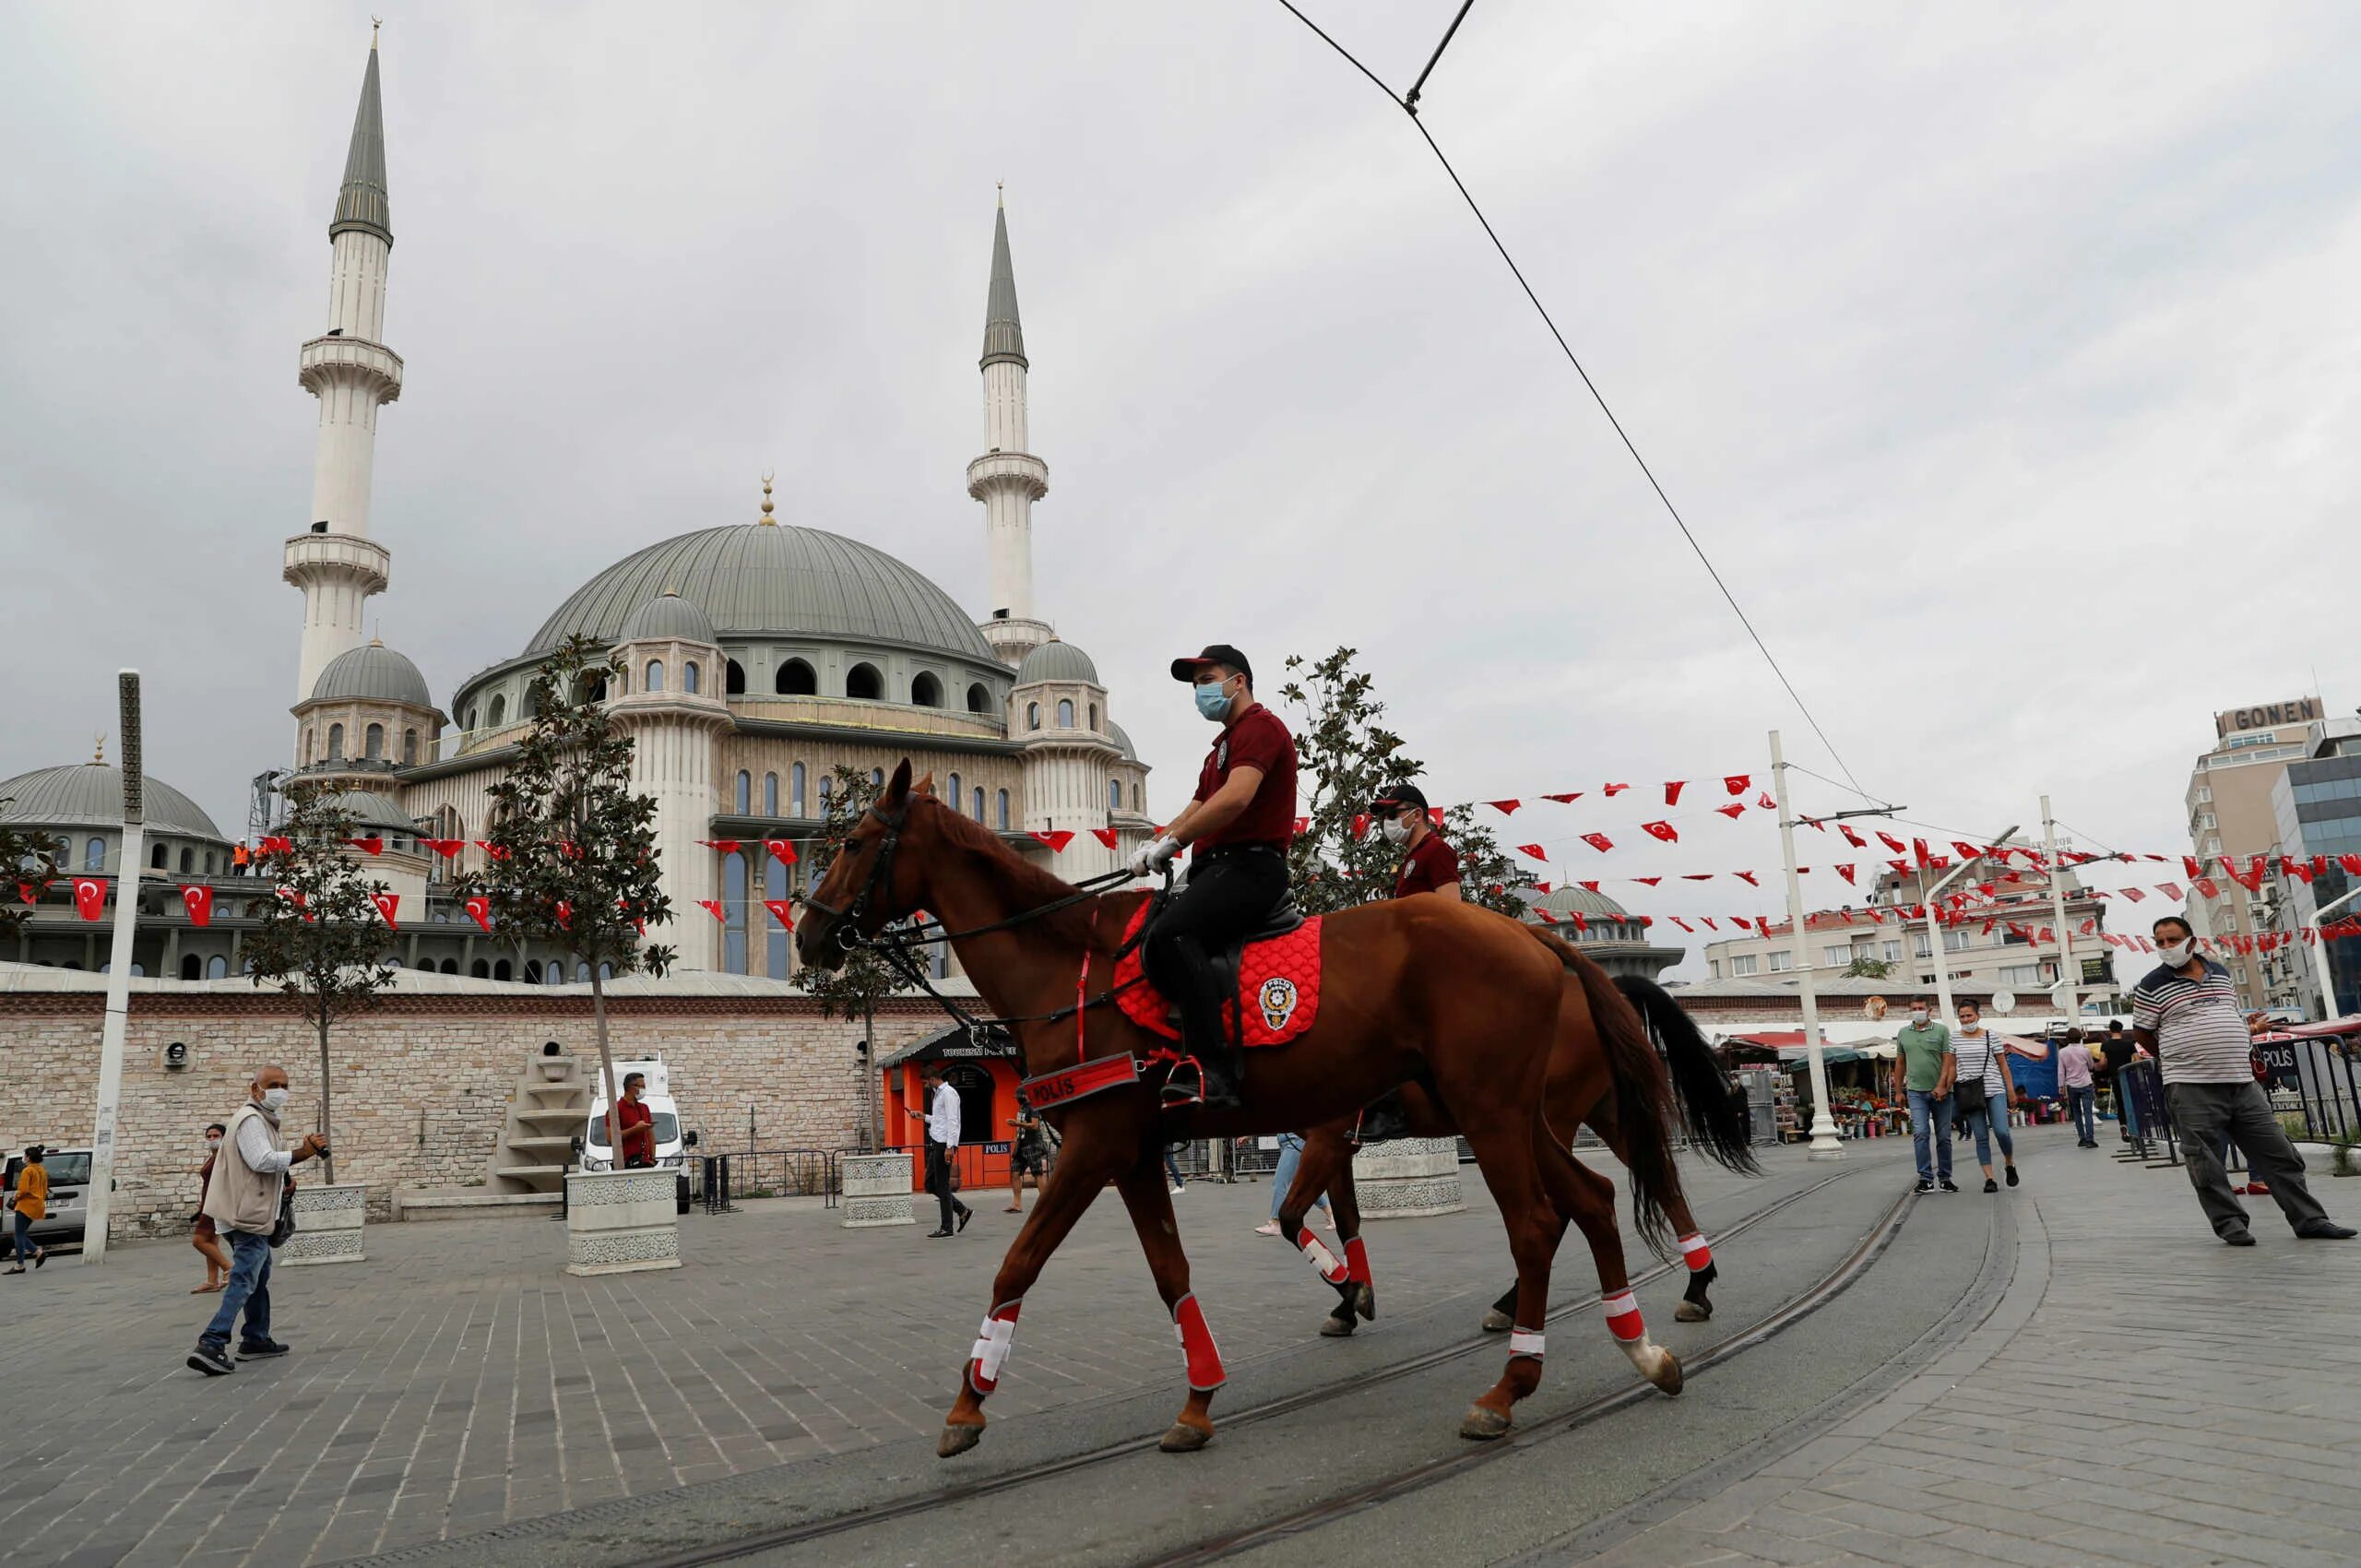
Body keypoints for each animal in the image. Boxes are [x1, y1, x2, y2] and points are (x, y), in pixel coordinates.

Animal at [802, 765, 1690, 1455]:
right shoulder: (1136, 1152)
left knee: (1540, 1222)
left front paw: (969, 1401)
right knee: (1594, 1198)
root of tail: (1540, 940)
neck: (1070, 969)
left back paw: (1513, 1383)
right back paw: (1641, 1345)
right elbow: (1174, 1272)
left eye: (852, 843)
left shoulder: (1097, 1145)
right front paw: (1201, 1398)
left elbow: (1018, 1263)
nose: (809, 933)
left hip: (1494, 1113)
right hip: (1519, 1114)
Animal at [1275, 954, 1756, 1331]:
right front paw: (1351, 1301)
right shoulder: (1338, 1145)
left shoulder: (1327, 1140)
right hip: (1605, 1115)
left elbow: (1291, 1217)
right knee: (1661, 1181)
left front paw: (1348, 1290)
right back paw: (1697, 1287)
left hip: (1545, 1122)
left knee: (1563, 1207)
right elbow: (1347, 1222)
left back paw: (1512, 1304)